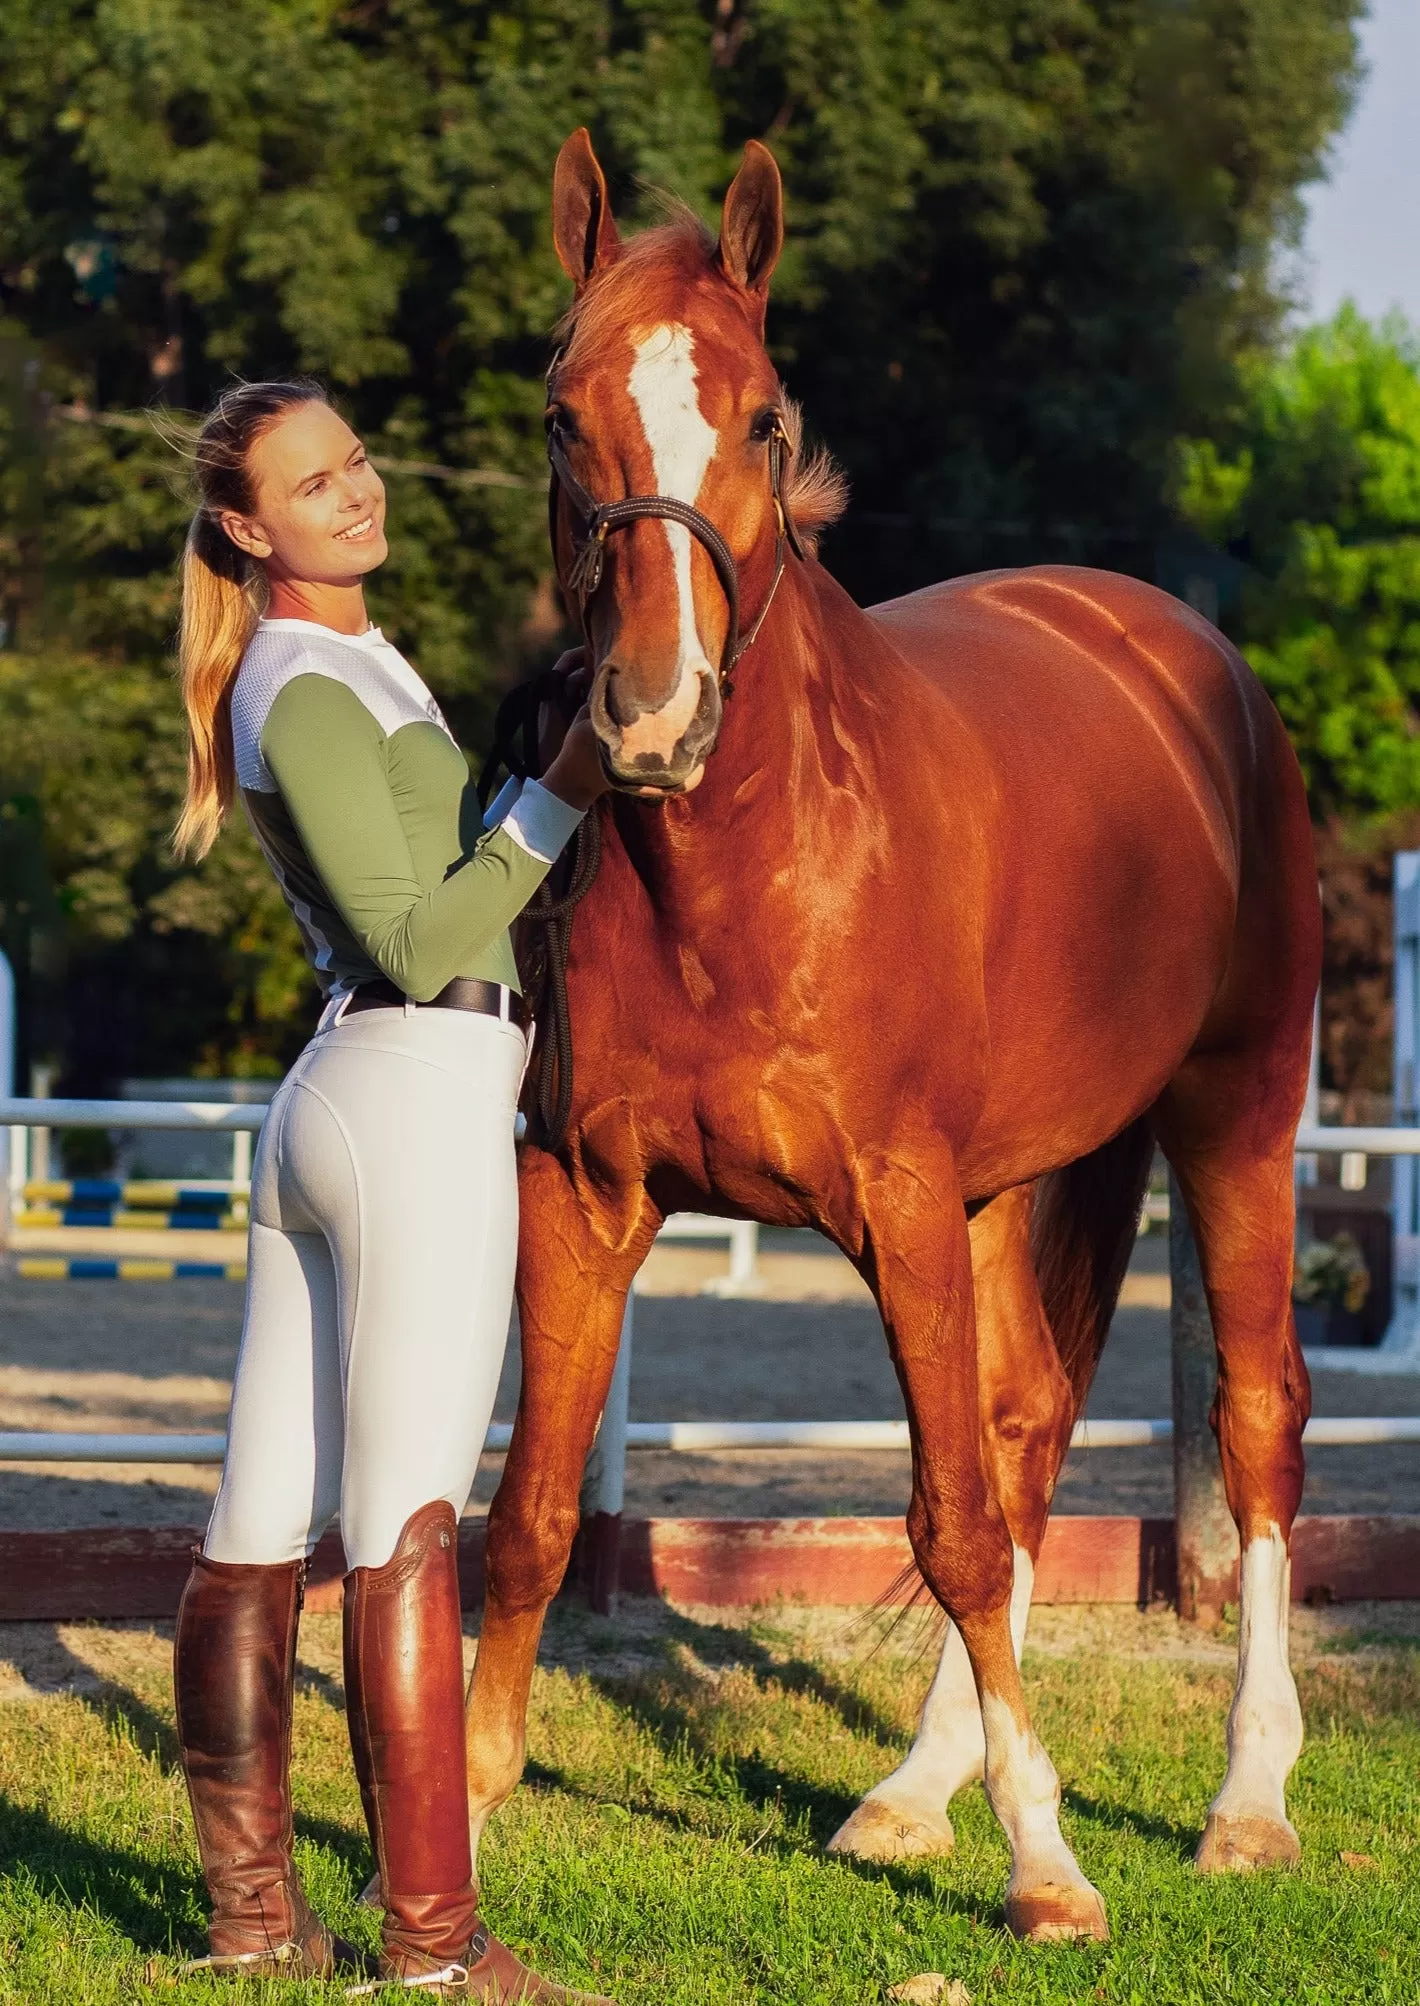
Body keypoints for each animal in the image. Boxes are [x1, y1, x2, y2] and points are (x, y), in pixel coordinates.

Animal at [465, 129, 1323, 1941]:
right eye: (566, 413)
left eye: (764, 415)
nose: (649, 713)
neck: (755, 864)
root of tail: (1181, 653)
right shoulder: (583, 1201)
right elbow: (531, 1516)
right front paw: (464, 1839)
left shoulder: (904, 1203)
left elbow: (955, 1529)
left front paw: (1053, 1866)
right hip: (1014, 1190)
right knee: (1027, 1426)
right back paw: (918, 1790)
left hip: (1236, 1117)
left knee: (1254, 1421)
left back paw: (1246, 1801)